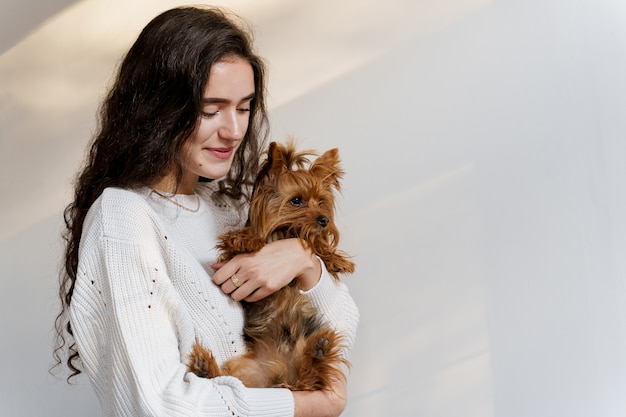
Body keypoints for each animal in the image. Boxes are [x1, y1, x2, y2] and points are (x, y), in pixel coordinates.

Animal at [185, 141, 354, 388]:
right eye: (296, 200)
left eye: (321, 202)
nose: (324, 220)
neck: (284, 231)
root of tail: (283, 377)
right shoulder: (229, 259)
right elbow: (242, 242)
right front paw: (245, 239)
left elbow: (315, 246)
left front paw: (337, 259)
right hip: (247, 374)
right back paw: (204, 367)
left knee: (311, 372)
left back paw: (318, 351)